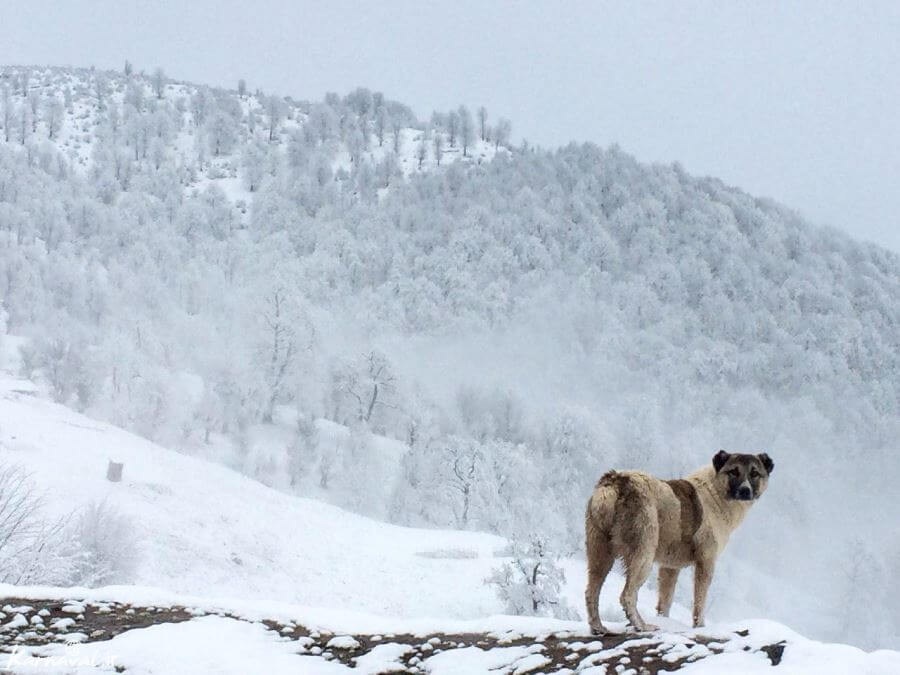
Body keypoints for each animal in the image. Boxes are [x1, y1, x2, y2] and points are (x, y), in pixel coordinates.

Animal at [584, 452, 772, 636]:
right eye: (734, 471)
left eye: (755, 473)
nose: (745, 491)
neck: (716, 492)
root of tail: (615, 481)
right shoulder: (706, 562)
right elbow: (699, 602)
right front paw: (700, 627)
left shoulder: (670, 568)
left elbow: (665, 603)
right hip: (643, 554)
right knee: (627, 595)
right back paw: (642, 626)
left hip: (600, 554)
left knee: (591, 592)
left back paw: (598, 628)